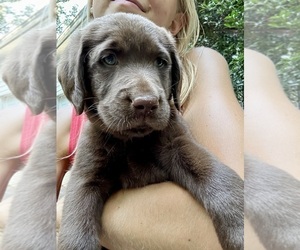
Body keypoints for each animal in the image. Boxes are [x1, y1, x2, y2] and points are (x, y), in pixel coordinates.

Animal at [58, 13, 244, 250]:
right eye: (109, 59)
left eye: (160, 62)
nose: (146, 103)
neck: (132, 142)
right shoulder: (86, 175)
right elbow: (77, 228)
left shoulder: (179, 144)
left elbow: (215, 175)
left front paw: (241, 228)